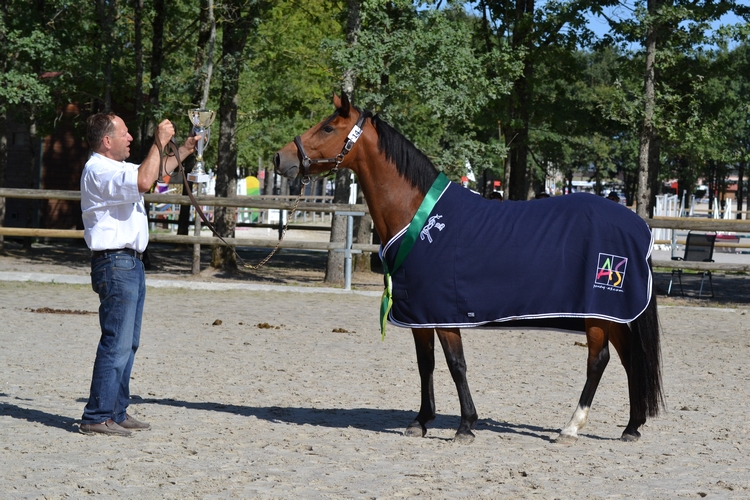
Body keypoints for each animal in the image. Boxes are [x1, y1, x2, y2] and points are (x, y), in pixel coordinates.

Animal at [274, 94, 664, 446]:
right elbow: (426, 364)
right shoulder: (421, 314)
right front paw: (421, 421)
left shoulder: (444, 312)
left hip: (597, 315)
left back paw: (571, 427)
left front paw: (465, 426)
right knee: (630, 359)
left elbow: (455, 364)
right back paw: (632, 426)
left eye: (328, 127)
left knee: (598, 360)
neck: (420, 215)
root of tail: (636, 225)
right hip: (613, 314)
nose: (281, 157)